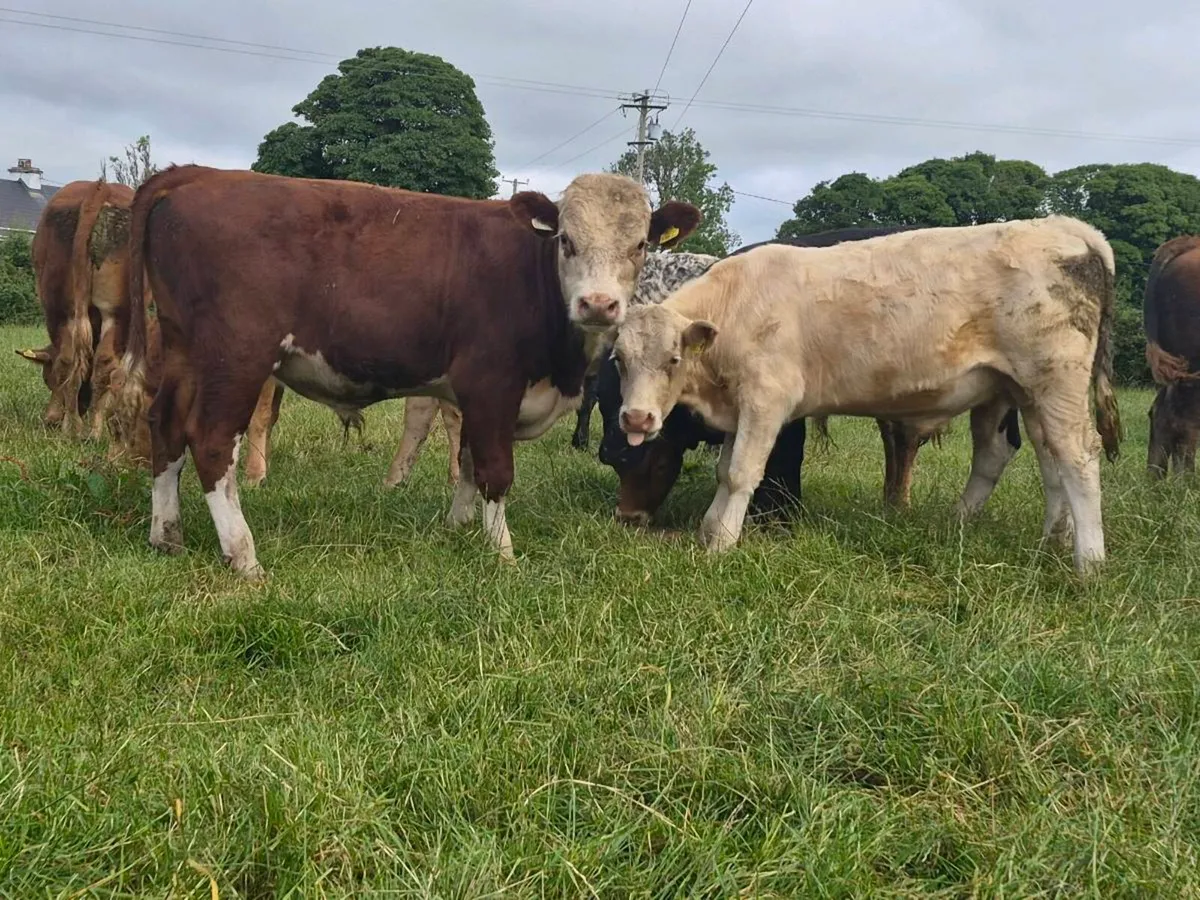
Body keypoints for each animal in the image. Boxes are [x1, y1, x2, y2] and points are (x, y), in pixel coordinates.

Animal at [111, 164, 700, 578]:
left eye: (639, 245)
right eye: (566, 241)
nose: (599, 304)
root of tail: (199, 174)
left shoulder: (477, 395)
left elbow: (468, 462)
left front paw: (457, 529)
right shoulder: (491, 383)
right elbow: (494, 470)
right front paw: (503, 552)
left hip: (184, 351)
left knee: (165, 426)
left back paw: (167, 535)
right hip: (236, 356)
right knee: (211, 442)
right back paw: (243, 556)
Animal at [610, 215, 1123, 574]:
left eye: (674, 359)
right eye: (619, 359)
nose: (636, 419)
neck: (737, 303)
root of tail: (1064, 225)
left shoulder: (766, 399)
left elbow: (740, 474)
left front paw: (720, 543)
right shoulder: (740, 405)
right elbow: (724, 472)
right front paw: (711, 530)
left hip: (1055, 380)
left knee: (1078, 458)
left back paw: (1089, 562)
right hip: (1025, 390)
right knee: (1047, 459)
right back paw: (1047, 540)